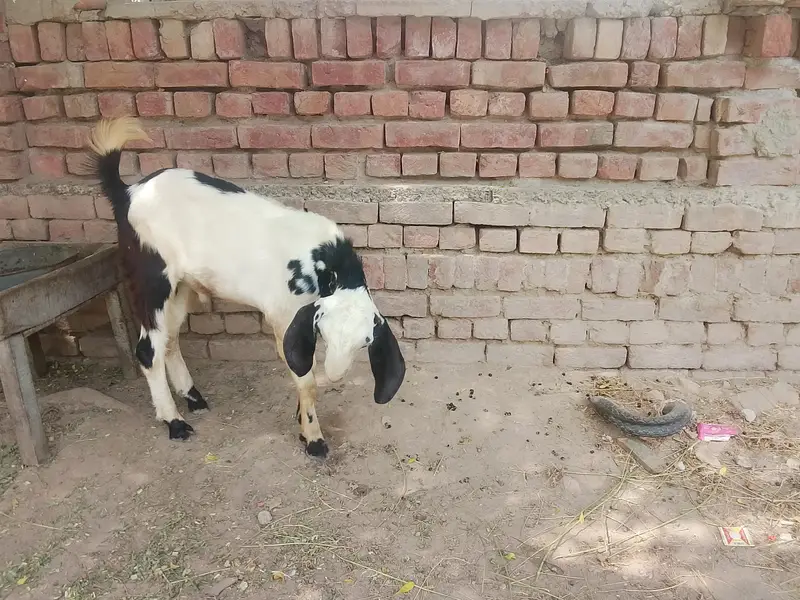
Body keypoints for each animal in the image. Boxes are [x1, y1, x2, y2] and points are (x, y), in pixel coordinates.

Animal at [88, 118, 406, 457]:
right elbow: (306, 380)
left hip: (181, 287)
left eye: (365, 342)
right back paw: (174, 423)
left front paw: (302, 425)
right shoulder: (284, 316)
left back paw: (194, 398)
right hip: (153, 279)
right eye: (324, 332)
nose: (334, 373)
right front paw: (314, 439)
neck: (323, 259)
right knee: (148, 350)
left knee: (169, 340)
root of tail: (128, 192)